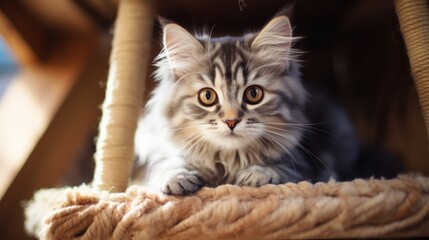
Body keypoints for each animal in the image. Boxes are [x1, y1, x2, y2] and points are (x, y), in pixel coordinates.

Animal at [133, 14, 358, 195]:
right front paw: (177, 177)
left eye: (253, 94)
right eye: (207, 96)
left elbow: (284, 168)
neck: (229, 160)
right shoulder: (162, 153)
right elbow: (165, 165)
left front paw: (259, 172)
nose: (231, 121)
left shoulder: (304, 162)